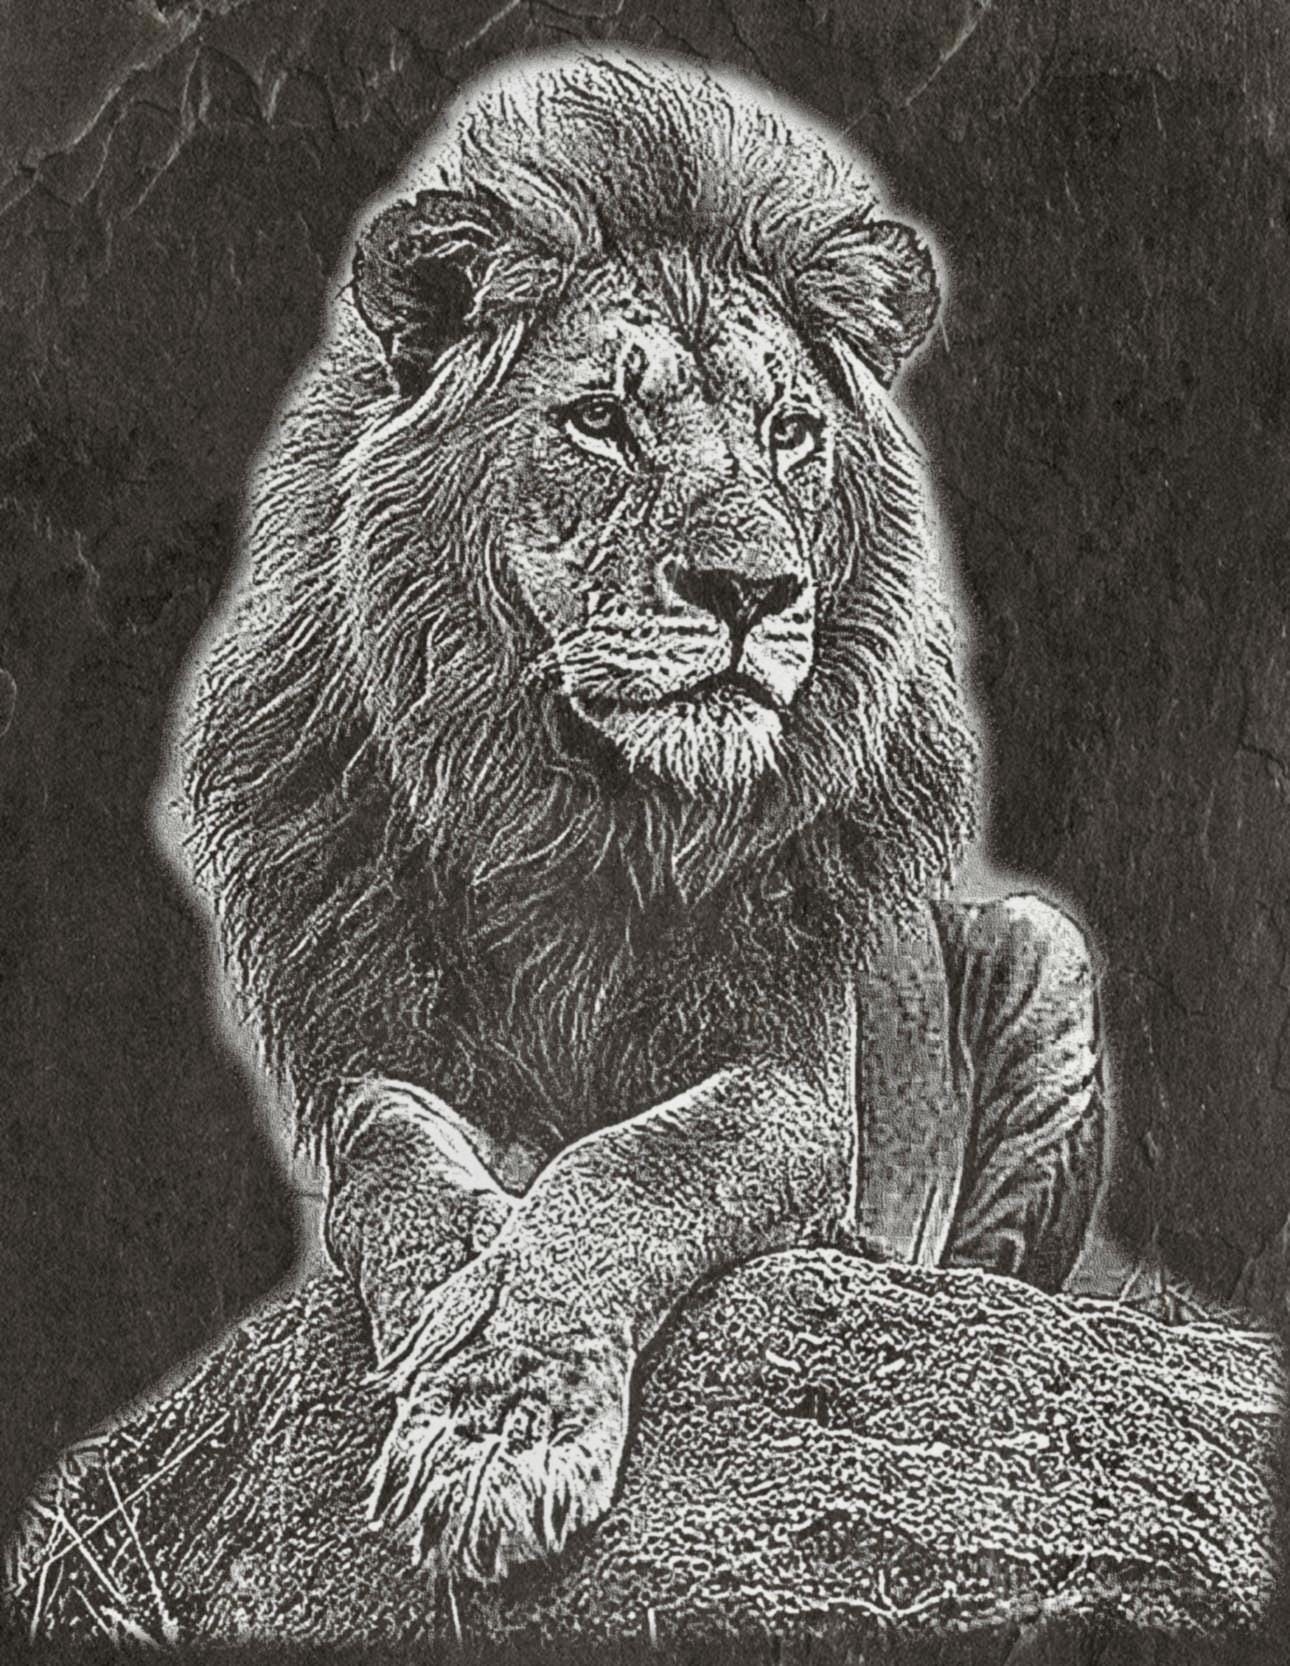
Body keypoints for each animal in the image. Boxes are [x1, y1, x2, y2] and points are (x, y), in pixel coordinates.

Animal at [177, 50, 1106, 1584]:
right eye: (600, 421)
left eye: (791, 433)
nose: (752, 590)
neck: (583, 807)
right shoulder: (378, 1043)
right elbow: (394, 1162)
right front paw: (455, 1300)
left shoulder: (795, 1082)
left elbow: (633, 1166)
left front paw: (498, 1424)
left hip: (1046, 949)